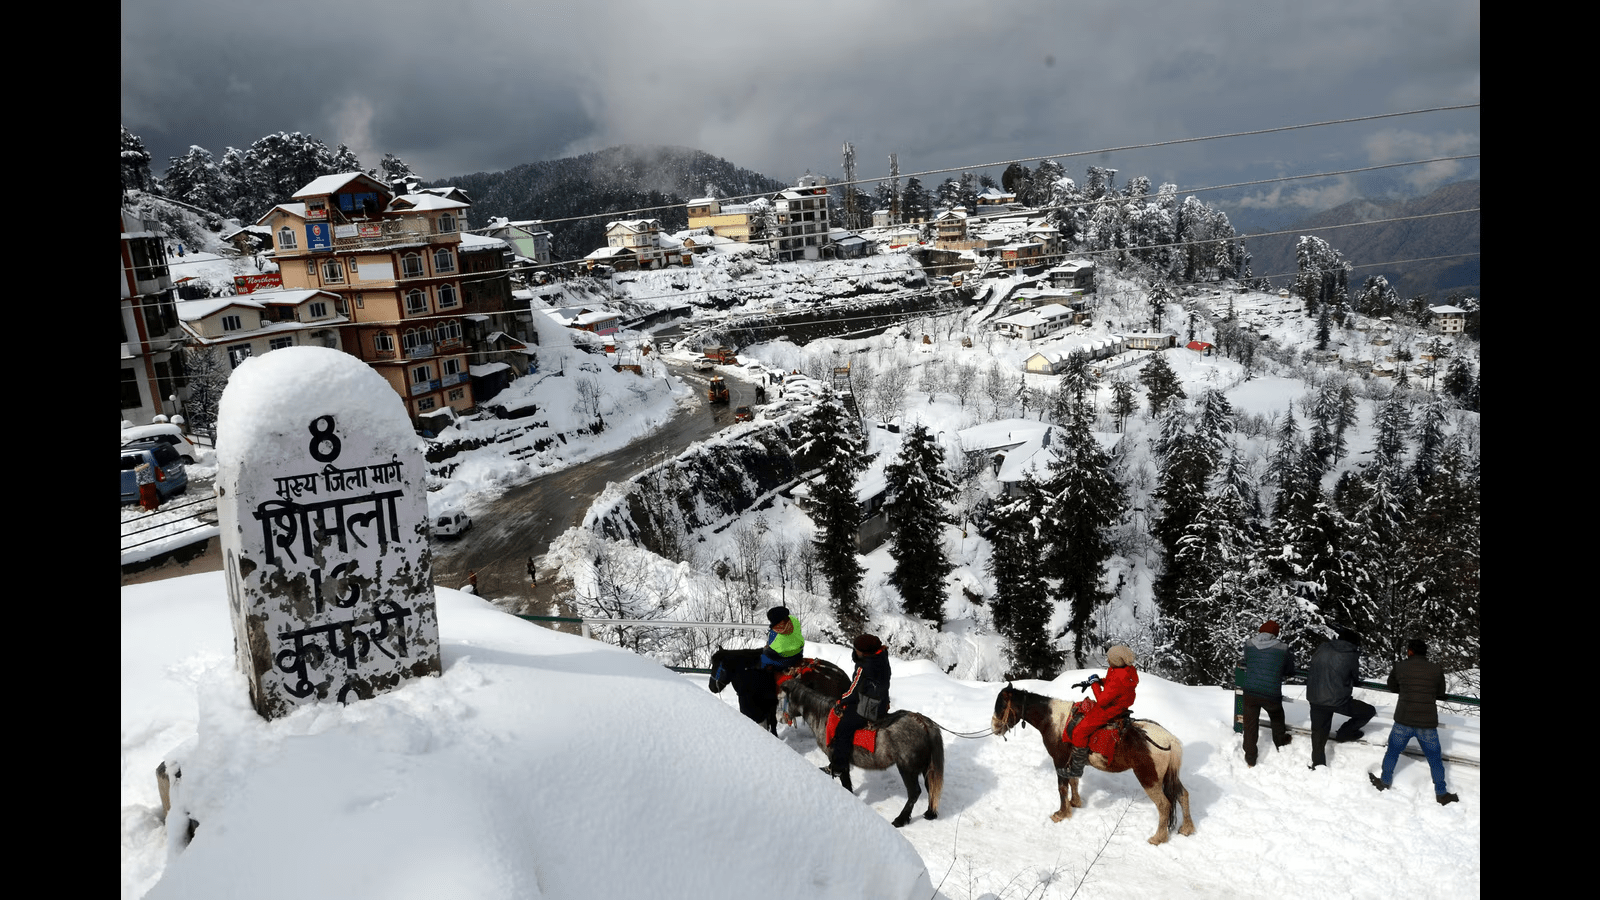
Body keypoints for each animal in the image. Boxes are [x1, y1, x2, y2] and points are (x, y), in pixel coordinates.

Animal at [710, 646, 857, 733]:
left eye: (717, 666)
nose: (711, 687)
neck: (753, 673)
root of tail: (845, 680)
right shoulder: (768, 708)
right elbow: (771, 724)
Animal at [780, 675, 940, 826]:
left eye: (781, 699)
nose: (781, 720)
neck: (823, 716)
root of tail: (924, 724)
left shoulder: (838, 759)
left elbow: (845, 781)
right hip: (926, 768)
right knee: (930, 788)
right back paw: (929, 813)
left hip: (907, 769)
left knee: (914, 793)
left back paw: (900, 820)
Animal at [985, 679, 1203, 839]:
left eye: (1001, 706)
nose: (995, 728)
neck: (1054, 721)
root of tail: (1169, 740)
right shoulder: (1072, 760)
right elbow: (1073, 781)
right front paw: (1075, 803)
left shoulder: (1060, 760)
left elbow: (1062, 787)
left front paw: (1061, 814)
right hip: (1168, 776)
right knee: (1183, 795)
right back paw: (1187, 828)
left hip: (1149, 777)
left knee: (1164, 804)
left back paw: (1158, 838)